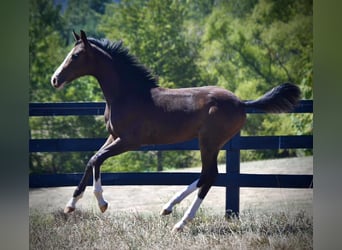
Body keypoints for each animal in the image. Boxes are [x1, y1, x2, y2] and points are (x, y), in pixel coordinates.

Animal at [50, 30, 300, 231]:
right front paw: (70, 205)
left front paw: (102, 203)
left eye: (75, 56)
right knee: (206, 175)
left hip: (209, 141)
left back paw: (180, 222)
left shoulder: (130, 141)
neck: (128, 94)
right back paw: (169, 208)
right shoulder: (113, 136)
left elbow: (97, 159)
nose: (55, 79)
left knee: (209, 175)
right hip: (211, 143)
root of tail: (241, 103)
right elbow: (92, 160)